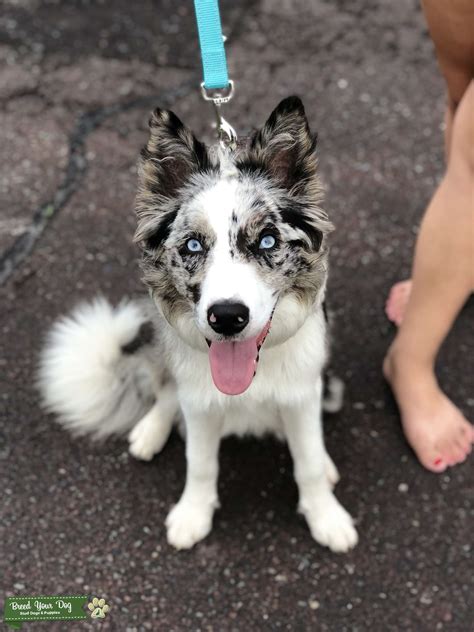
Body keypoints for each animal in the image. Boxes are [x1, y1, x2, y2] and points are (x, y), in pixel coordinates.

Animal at [39, 95, 358, 552]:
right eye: (192, 245)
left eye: (267, 241)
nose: (226, 317)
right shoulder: (200, 402)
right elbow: (200, 462)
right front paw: (192, 515)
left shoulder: (302, 393)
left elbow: (309, 461)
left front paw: (327, 518)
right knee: (165, 392)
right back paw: (150, 431)